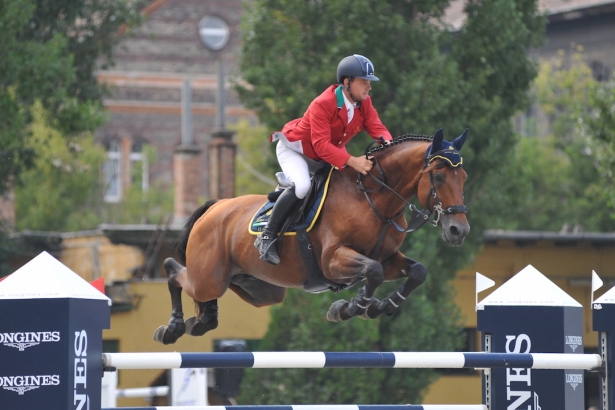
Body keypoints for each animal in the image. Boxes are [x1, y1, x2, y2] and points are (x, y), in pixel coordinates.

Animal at [152, 129, 470, 346]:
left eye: (464, 178)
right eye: (438, 177)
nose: (459, 231)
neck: (374, 200)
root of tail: (214, 207)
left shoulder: (390, 257)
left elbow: (417, 272)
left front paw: (380, 306)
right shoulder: (333, 260)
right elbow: (373, 271)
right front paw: (352, 308)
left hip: (259, 289)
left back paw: (202, 321)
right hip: (209, 277)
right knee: (174, 271)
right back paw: (172, 328)